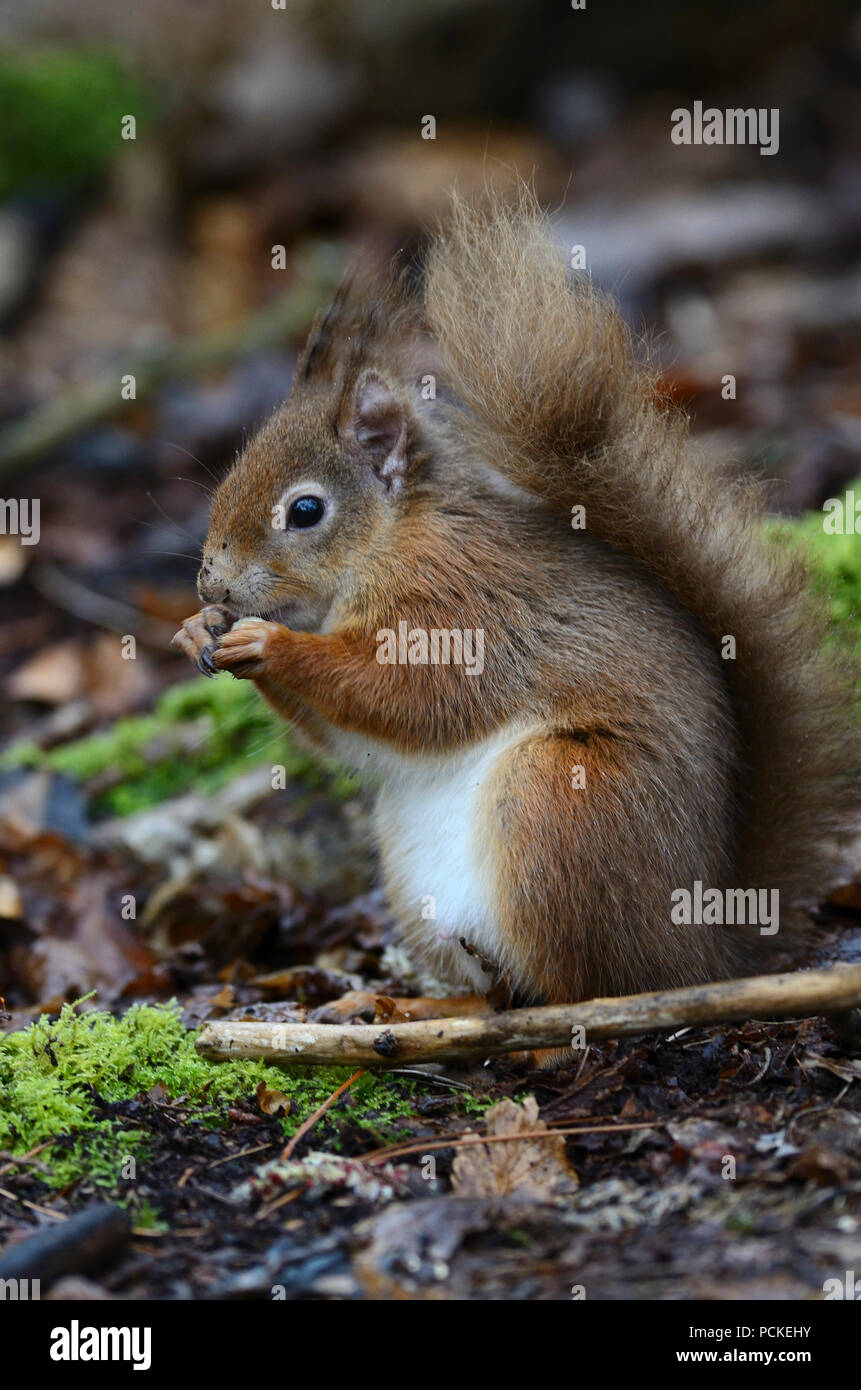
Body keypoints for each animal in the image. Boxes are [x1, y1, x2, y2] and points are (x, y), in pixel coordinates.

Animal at [171, 184, 856, 1034]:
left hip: (558, 801)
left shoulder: (461, 601)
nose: (212, 585)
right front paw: (197, 633)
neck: (394, 537)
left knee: (578, 987)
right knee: (496, 985)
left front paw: (271, 645)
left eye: (304, 511)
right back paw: (397, 1005)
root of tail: (704, 952)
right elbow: (357, 738)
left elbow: (413, 696)